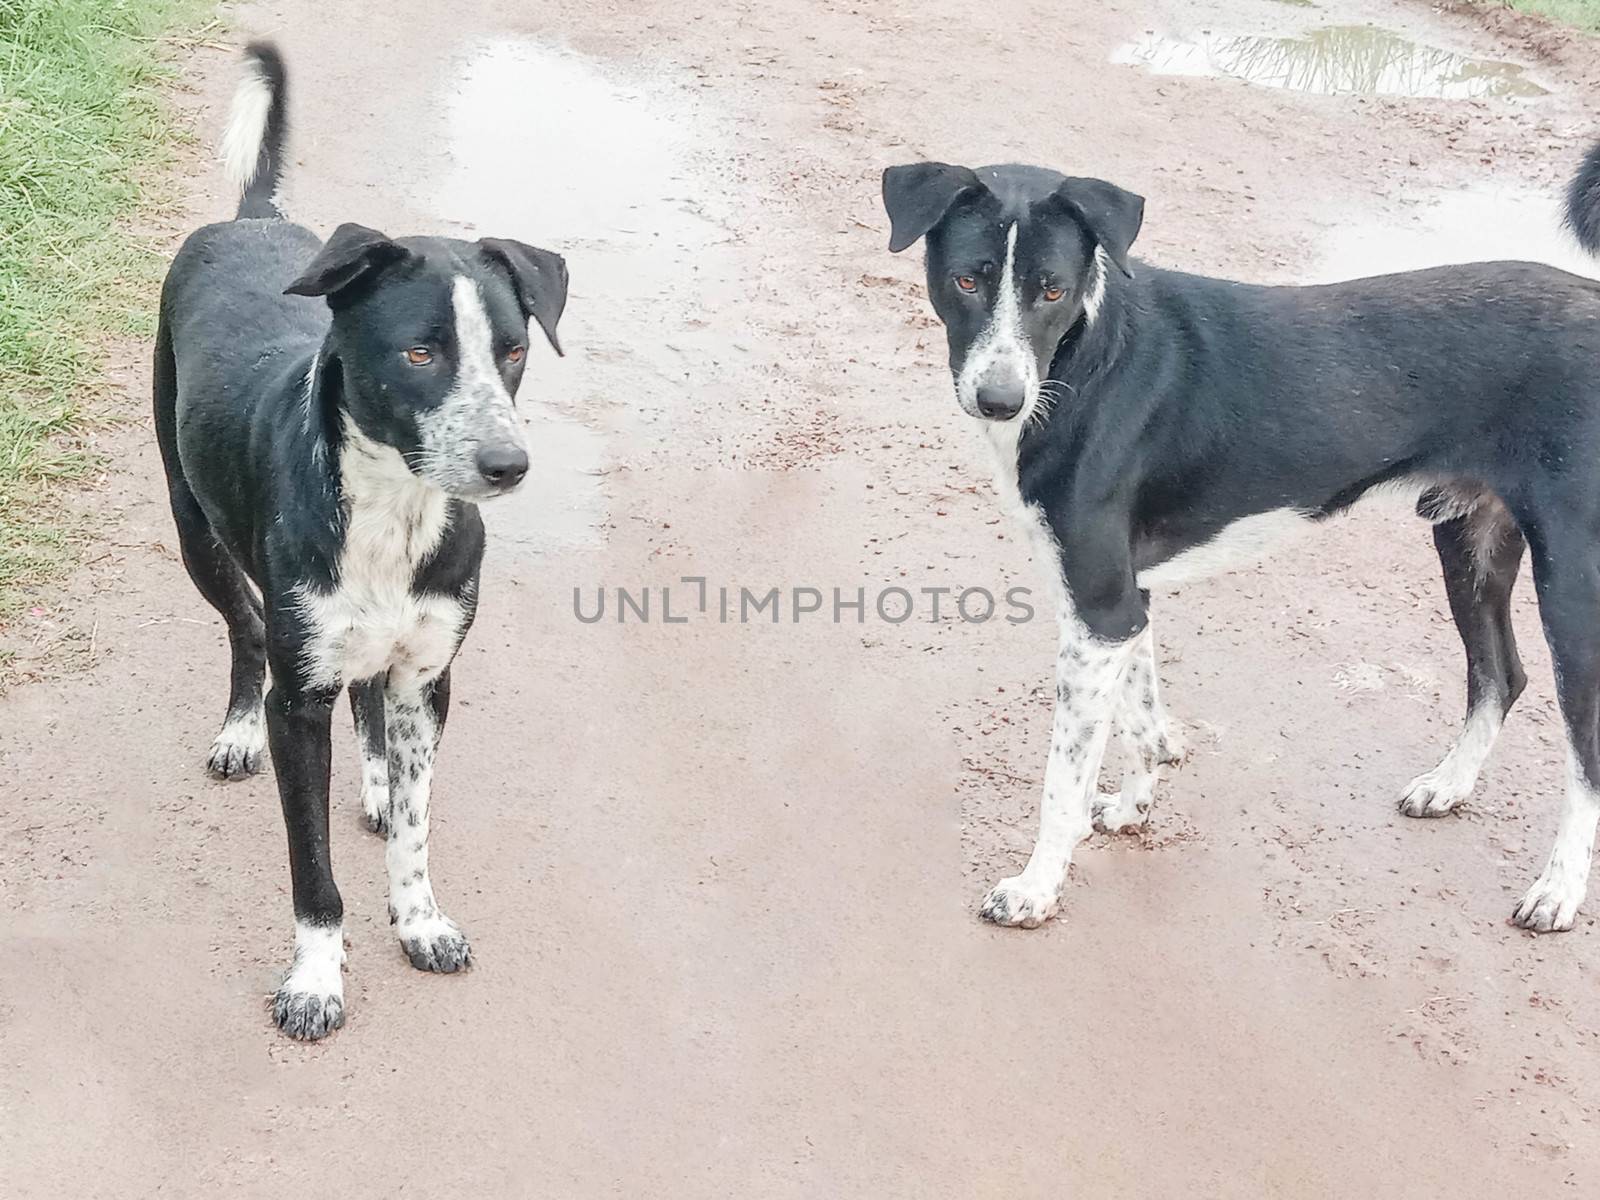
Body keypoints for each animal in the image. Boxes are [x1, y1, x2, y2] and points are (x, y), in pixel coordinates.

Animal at [156, 44, 569, 1043]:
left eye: (512, 351)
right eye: (419, 353)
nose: (507, 465)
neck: (394, 510)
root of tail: (253, 219)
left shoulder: (431, 676)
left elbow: (418, 820)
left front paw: (419, 919)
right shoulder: (298, 703)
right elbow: (311, 870)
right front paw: (315, 979)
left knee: (369, 697)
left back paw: (377, 783)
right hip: (193, 527)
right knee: (244, 629)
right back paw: (236, 729)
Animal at [883, 145, 1600, 940]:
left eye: (1053, 290)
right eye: (967, 279)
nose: (1000, 401)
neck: (1088, 360)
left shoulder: (1097, 612)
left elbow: (1062, 781)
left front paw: (1036, 889)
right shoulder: (1124, 603)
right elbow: (1141, 717)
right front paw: (1132, 809)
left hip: (1573, 584)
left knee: (1582, 743)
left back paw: (1559, 889)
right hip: (1469, 541)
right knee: (1500, 673)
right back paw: (1448, 784)